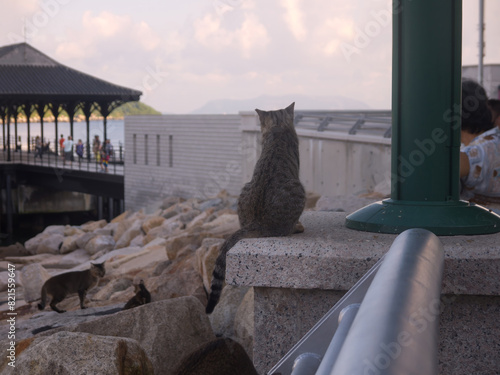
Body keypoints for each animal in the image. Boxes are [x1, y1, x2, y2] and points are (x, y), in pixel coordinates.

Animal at [204, 102, 304, 314]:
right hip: (298, 188)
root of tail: (256, 222)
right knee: (287, 229)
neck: (278, 126)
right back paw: (297, 227)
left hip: (245, 188)